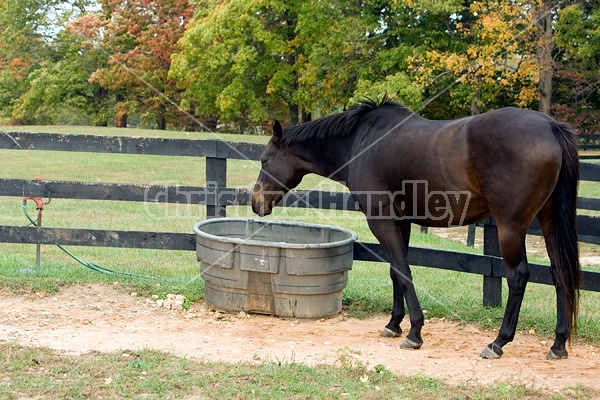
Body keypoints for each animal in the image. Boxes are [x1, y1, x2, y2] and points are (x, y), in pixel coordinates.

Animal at [251, 99, 580, 360]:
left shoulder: (381, 221)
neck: (361, 142)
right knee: (559, 273)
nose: (255, 203)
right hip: (549, 222)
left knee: (518, 276)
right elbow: (396, 273)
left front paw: (415, 332)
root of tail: (550, 126)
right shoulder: (402, 222)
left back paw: (498, 342)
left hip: (509, 227)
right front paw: (394, 324)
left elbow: (404, 273)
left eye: (265, 159)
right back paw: (558, 344)